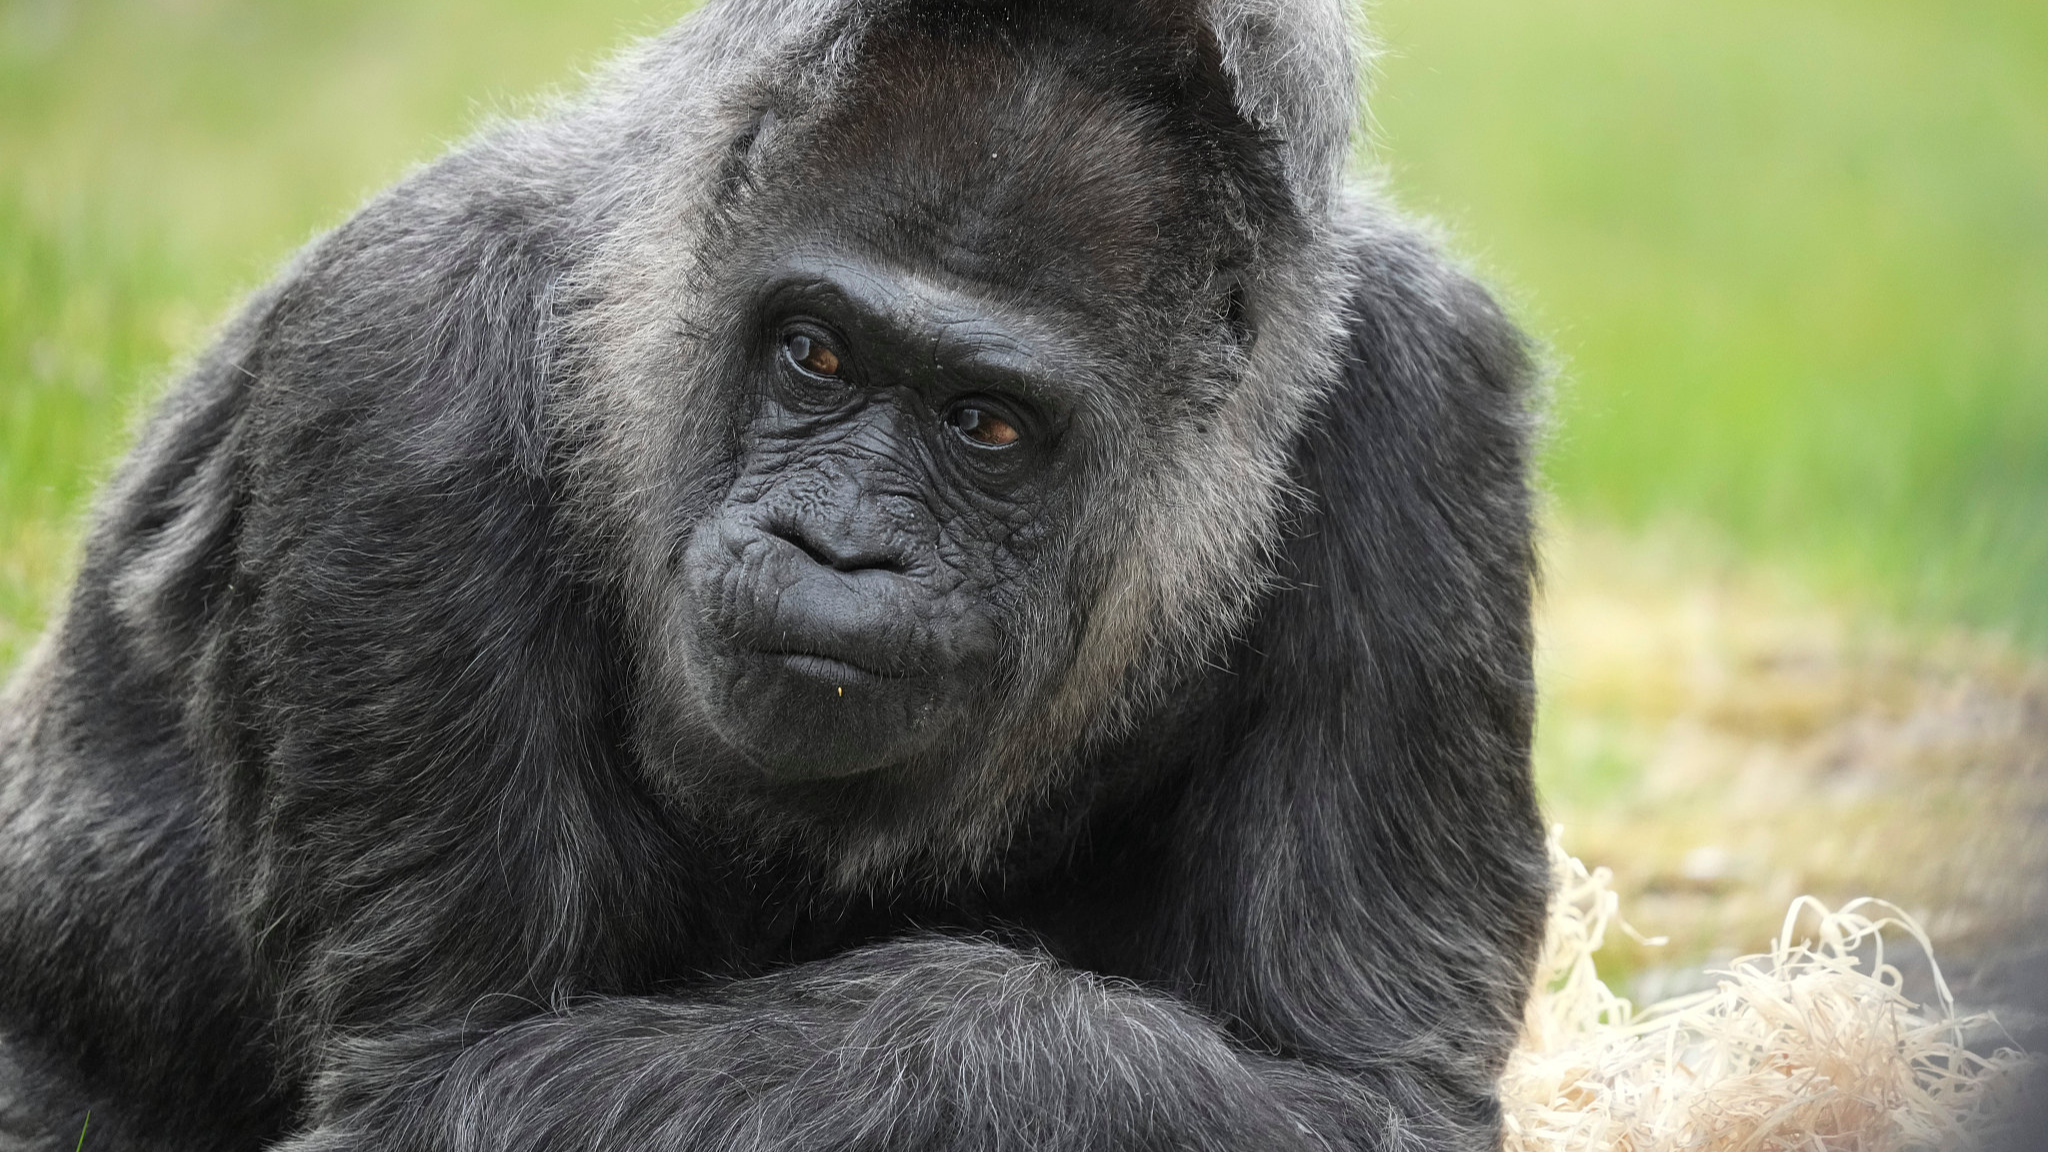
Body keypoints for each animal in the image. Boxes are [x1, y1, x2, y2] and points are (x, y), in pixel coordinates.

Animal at [0, 2, 1549, 1149]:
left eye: (986, 426)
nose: (836, 545)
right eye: (815, 353)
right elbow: (440, 1080)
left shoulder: (1435, 407)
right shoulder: (396, 364)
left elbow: (1365, 1092)